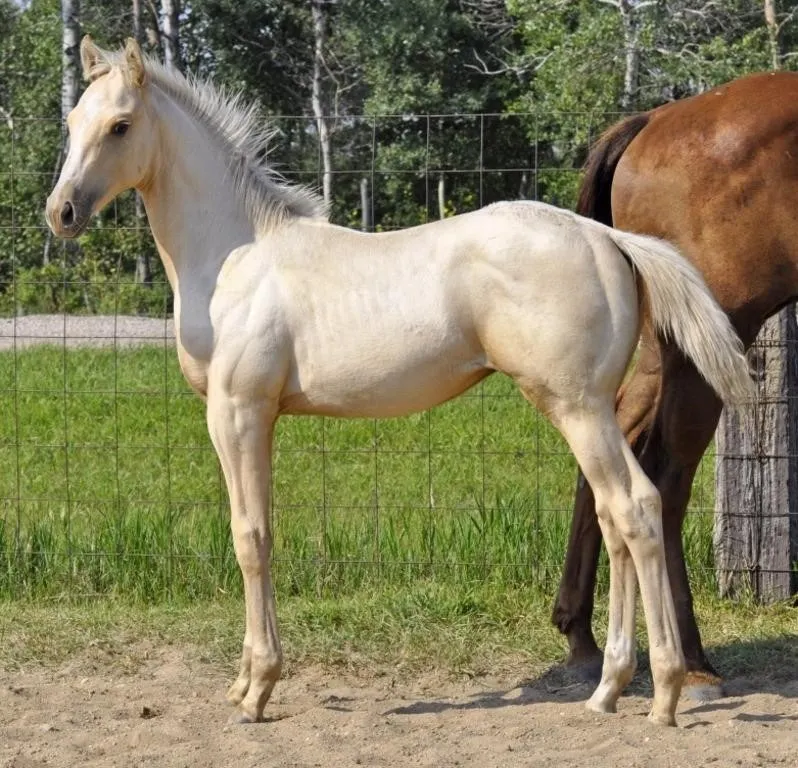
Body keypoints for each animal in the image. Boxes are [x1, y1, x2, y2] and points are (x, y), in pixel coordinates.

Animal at [46, 37, 752, 727]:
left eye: (121, 125)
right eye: (73, 121)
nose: (62, 212)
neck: (237, 255)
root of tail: (603, 234)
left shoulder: (238, 411)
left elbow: (250, 537)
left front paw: (257, 690)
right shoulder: (254, 416)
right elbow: (258, 529)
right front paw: (245, 681)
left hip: (577, 407)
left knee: (635, 509)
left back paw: (664, 693)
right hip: (592, 410)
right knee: (613, 516)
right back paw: (608, 687)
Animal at [552, 71, 798, 702]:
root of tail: (655, 122)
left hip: (661, 356)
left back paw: (582, 636)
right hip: (699, 351)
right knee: (664, 486)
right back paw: (690, 661)